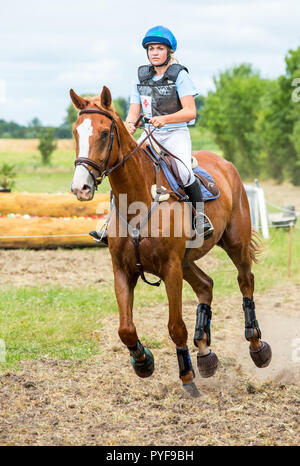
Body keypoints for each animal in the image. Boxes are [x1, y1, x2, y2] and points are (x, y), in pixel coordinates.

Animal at [69, 86, 272, 396]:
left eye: (104, 133)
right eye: (75, 132)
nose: (80, 187)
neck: (139, 198)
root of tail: (224, 163)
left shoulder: (171, 269)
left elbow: (176, 326)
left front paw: (186, 377)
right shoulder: (122, 270)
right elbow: (125, 329)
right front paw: (143, 362)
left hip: (234, 243)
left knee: (245, 282)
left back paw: (256, 346)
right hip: (188, 261)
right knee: (206, 285)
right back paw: (205, 352)